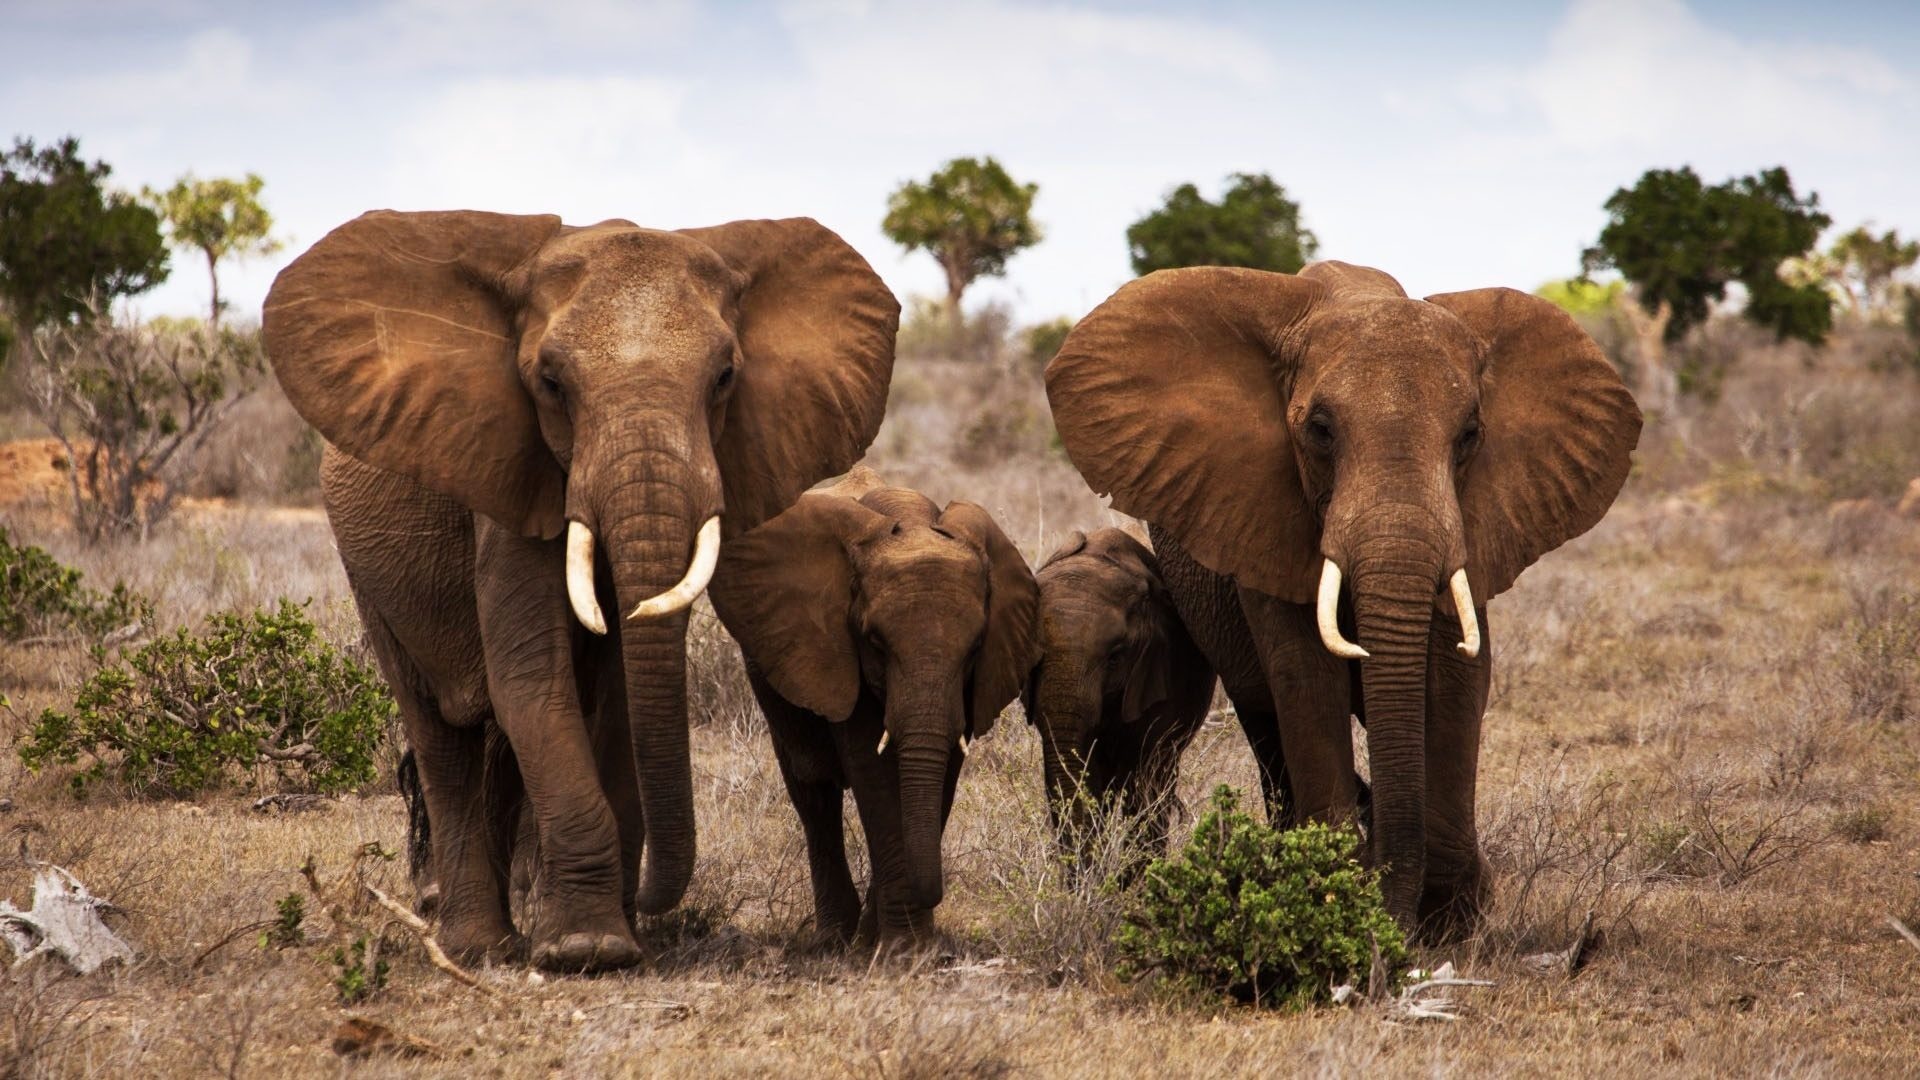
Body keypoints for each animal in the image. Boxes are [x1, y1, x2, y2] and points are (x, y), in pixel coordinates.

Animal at [263, 210, 898, 968]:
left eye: (724, 377)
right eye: (550, 382)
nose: (651, 897)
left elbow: (619, 689)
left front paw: (611, 938)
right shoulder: (509, 474)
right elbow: (531, 678)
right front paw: (586, 951)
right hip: (365, 570)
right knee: (440, 731)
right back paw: (478, 947)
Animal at [706, 466, 1036, 937]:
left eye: (975, 648)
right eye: (876, 642)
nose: (934, 894)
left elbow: (943, 771)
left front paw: (892, 937)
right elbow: (873, 772)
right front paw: (903, 945)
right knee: (812, 787)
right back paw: (834, 936)